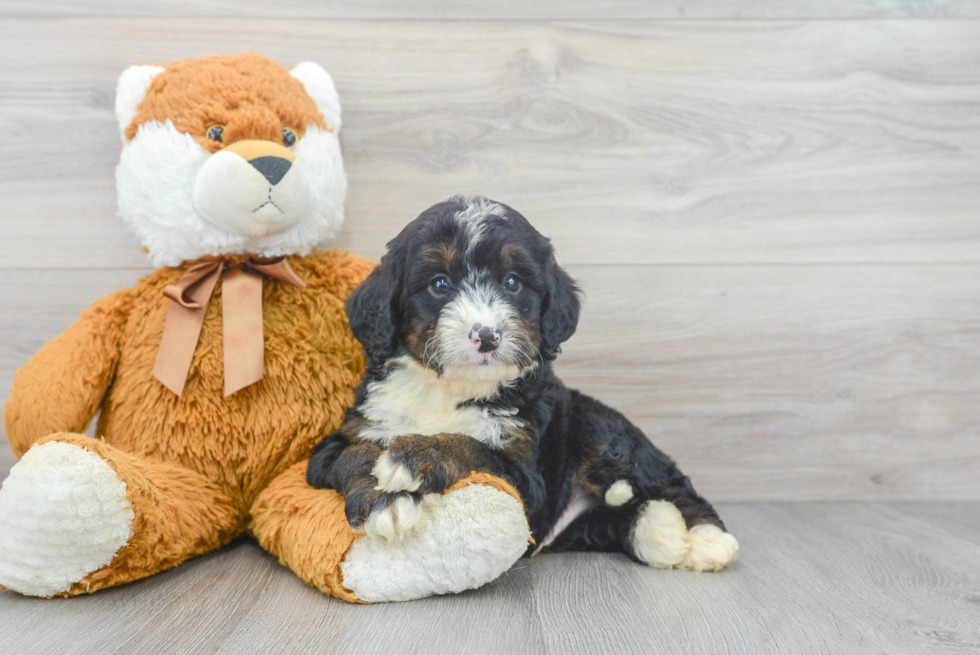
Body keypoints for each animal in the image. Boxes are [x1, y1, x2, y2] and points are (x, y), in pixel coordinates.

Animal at [306, 196, 736, 576]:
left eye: (512, 282)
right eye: (440, 284)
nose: (487, 335)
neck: (450, 388)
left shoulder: (528, 480)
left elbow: (471, 446)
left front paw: (411, 456)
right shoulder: (341, 439)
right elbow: (354, 455)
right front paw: (385, 504)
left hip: (595, 426)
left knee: (668, 479)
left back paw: (705, 537)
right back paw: (660, 531)